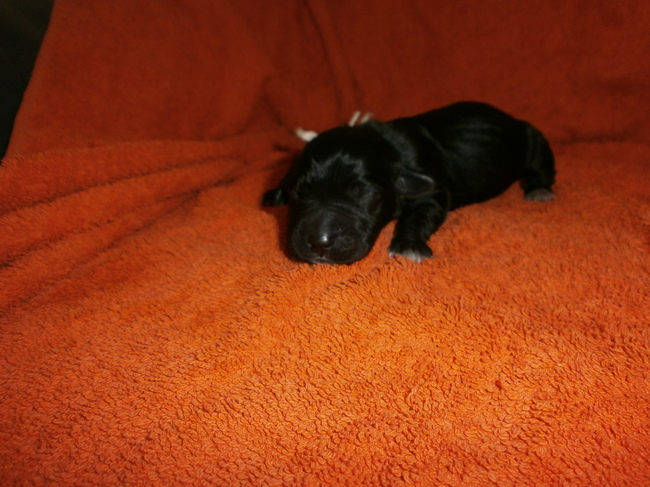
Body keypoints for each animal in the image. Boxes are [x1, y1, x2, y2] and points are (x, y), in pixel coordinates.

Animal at [263, 101, 556, 265]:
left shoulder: (434, 191)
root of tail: (506, 116)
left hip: (531, 136)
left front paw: (408, 246)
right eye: (299, 191)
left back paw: (539, 189)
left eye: (365, 195)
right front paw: (274, 194)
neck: (387, 146)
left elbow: (421, 214)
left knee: (541, 160)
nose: (319, 243)